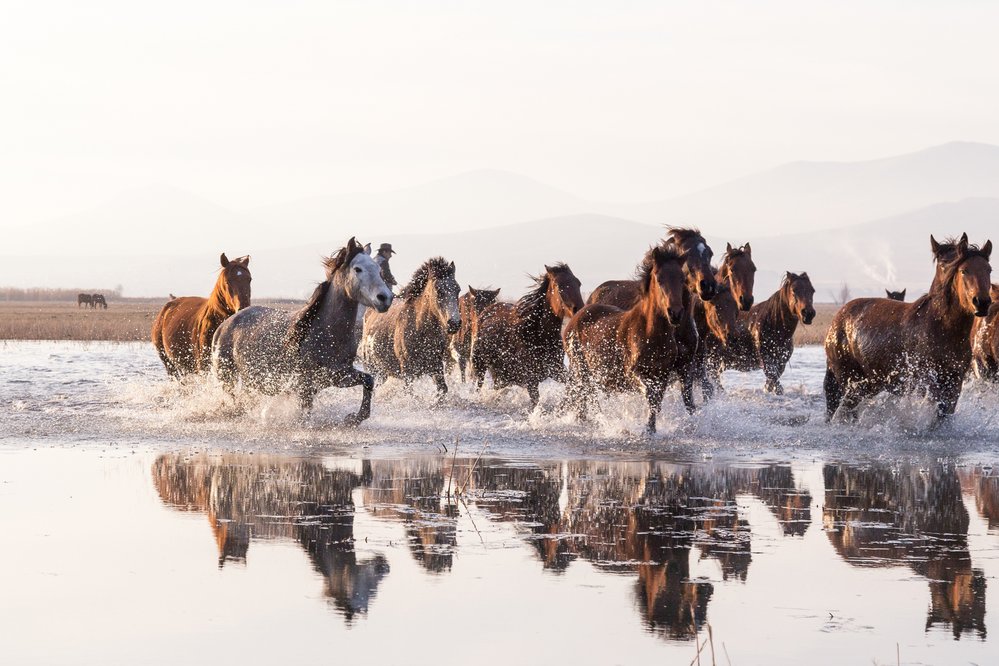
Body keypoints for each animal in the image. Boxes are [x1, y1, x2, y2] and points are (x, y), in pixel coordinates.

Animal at [213, 239, 392, 422]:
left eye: (378, 269)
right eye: (357, 269)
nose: (385, 297)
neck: (325, 333)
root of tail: (227, 324)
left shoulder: (337, 375)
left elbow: (368, 380)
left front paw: (354, 418)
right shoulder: (304, 385)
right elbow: (304, 412)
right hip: (226, 376)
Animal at [362, 254, 462, 400]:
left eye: (458, 289)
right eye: (438, 290)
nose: (454, 323)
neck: (420, 329)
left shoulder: (436, 367)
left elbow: (443, 390)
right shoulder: (407, 371)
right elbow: (410, 394)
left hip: (383, 373)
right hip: (373, 368)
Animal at [470, 262, 584, 408]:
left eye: (578, 283)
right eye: (559, 285)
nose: (579, 309)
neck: (538, 335)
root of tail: (485, 312)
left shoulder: (556, 370)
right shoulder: (531, 380)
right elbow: (536, 403)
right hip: (480, 366)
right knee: (479, 386)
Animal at [568, 246, 692, 434]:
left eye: (682, 278)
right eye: (659, 278)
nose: (675, 313)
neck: (651, 333)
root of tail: (576, 316)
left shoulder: (662, 374)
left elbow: (656, 401)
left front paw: (651, 428)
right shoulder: (633, 373)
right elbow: (649, 394)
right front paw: (647, 429)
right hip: (581, 371)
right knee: (586, 397)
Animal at [824, 233, 996, 420]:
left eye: (989, 270)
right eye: (964, 270)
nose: (982, 302)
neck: (941, 328)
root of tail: (836, 321)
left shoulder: (954, 382)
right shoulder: (927, 382)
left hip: (869, 384)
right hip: (851, 383)